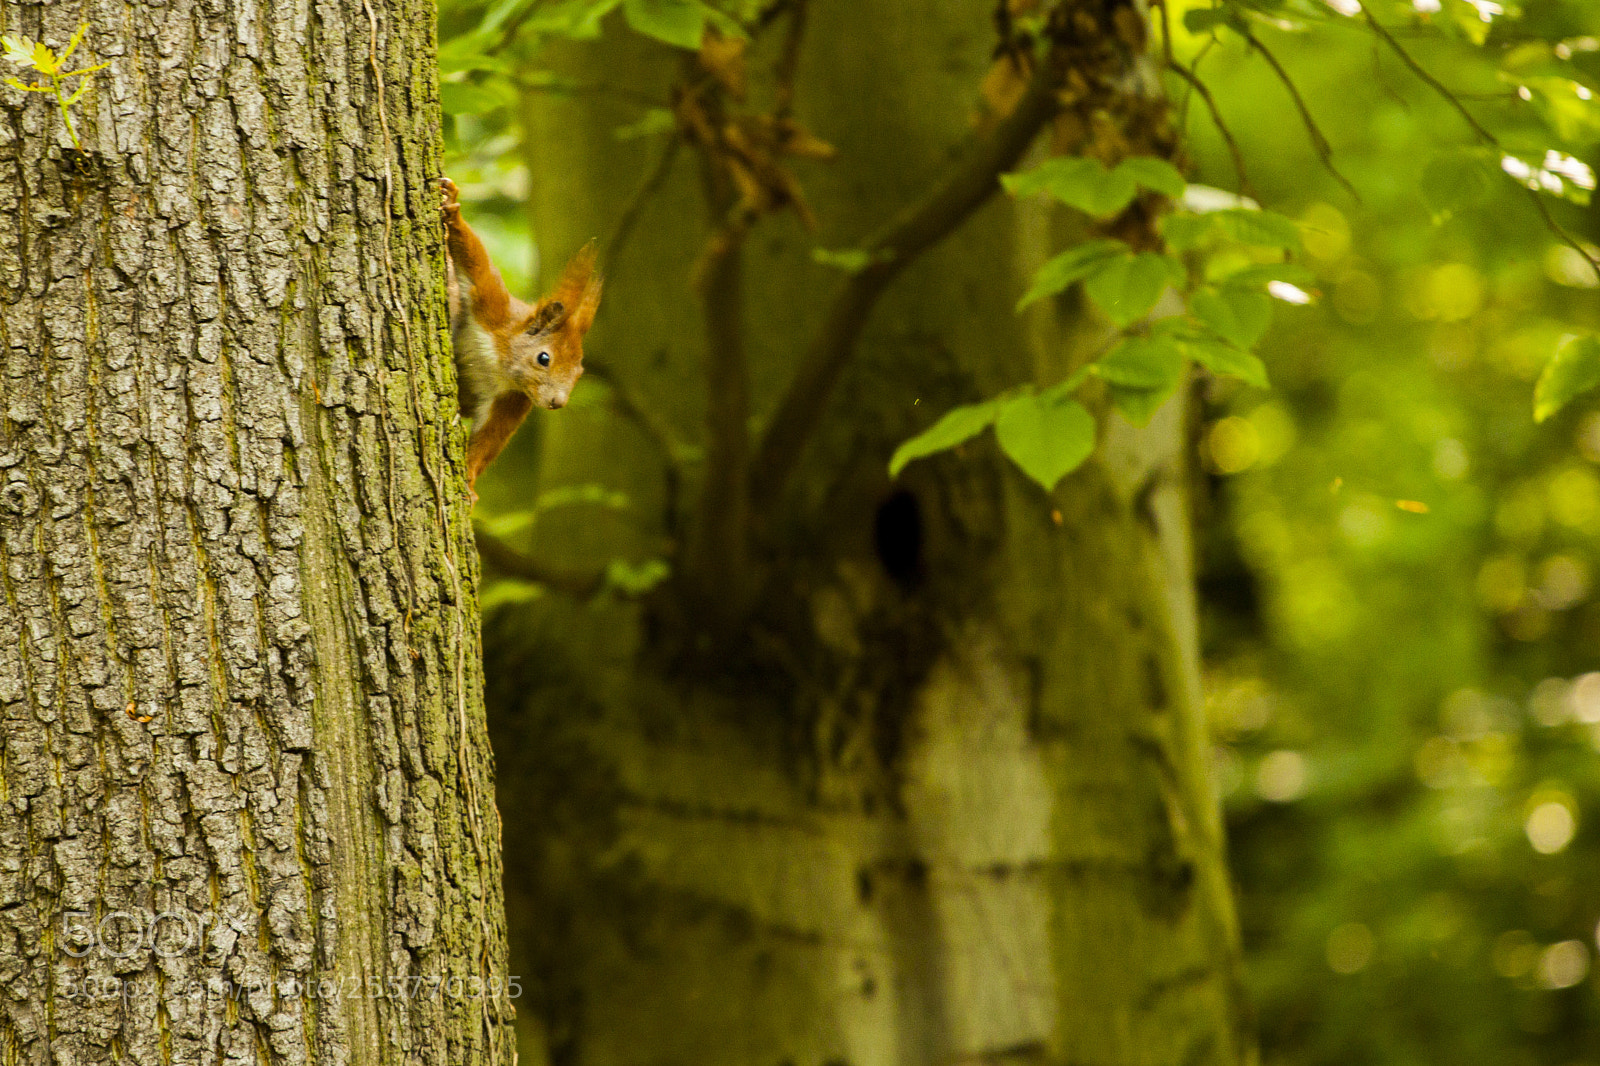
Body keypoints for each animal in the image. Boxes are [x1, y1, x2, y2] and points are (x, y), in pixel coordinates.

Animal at [439, 177, 602, 499]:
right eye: (544, 358)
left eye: (579, 372)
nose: (557, 402)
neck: (500, 365)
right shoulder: (492, 308)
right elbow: (477, 265)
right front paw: (452, 207)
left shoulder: (511, 399)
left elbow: (490, 438)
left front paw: (469, 480)